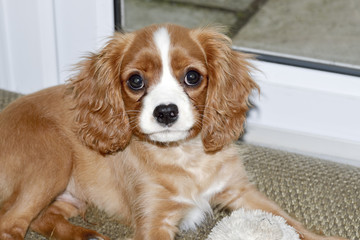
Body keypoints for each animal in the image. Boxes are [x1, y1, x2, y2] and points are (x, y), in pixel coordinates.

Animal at [0, 24, 344, 240]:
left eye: (192, 76)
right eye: (135, 81)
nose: (165, 112)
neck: (184, 155)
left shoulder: (239, 190)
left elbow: (290, 221)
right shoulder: (155, 219)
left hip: (69, 195)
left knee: (40, 217)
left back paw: (88, 237)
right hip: (53, 160)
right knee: (11, 225)